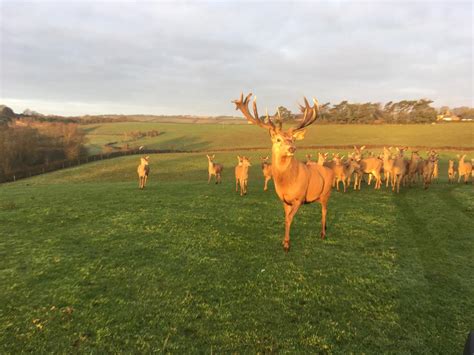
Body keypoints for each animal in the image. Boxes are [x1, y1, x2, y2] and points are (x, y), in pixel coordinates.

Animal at [233, 93, 334, 252]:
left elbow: (289, 218)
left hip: (326, 193)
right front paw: (283, 241)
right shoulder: (284, 199)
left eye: (293, 139)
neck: (287, 182)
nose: (292, 148)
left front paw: (286, 244)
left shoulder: (299, 198)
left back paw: (323, 233)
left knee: (324, 211)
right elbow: (285, 217)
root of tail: (330, 170)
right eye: (278, 139)